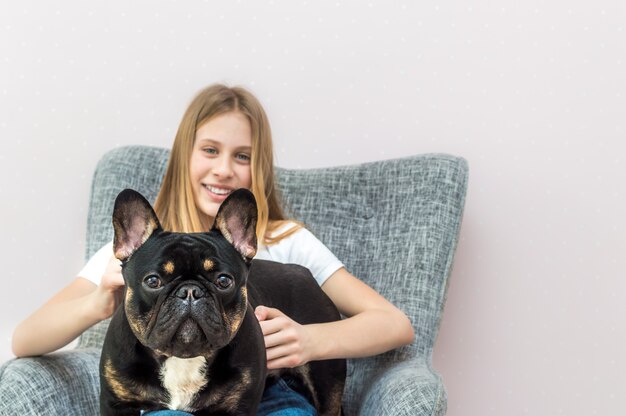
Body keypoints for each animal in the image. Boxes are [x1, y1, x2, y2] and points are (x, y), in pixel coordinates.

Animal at [99, 189, 344, 416]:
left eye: (224, 281)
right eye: (153, 281)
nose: (190, 291)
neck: (183, 358)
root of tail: (307, 274)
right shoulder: (116, 404)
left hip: (326, 379)